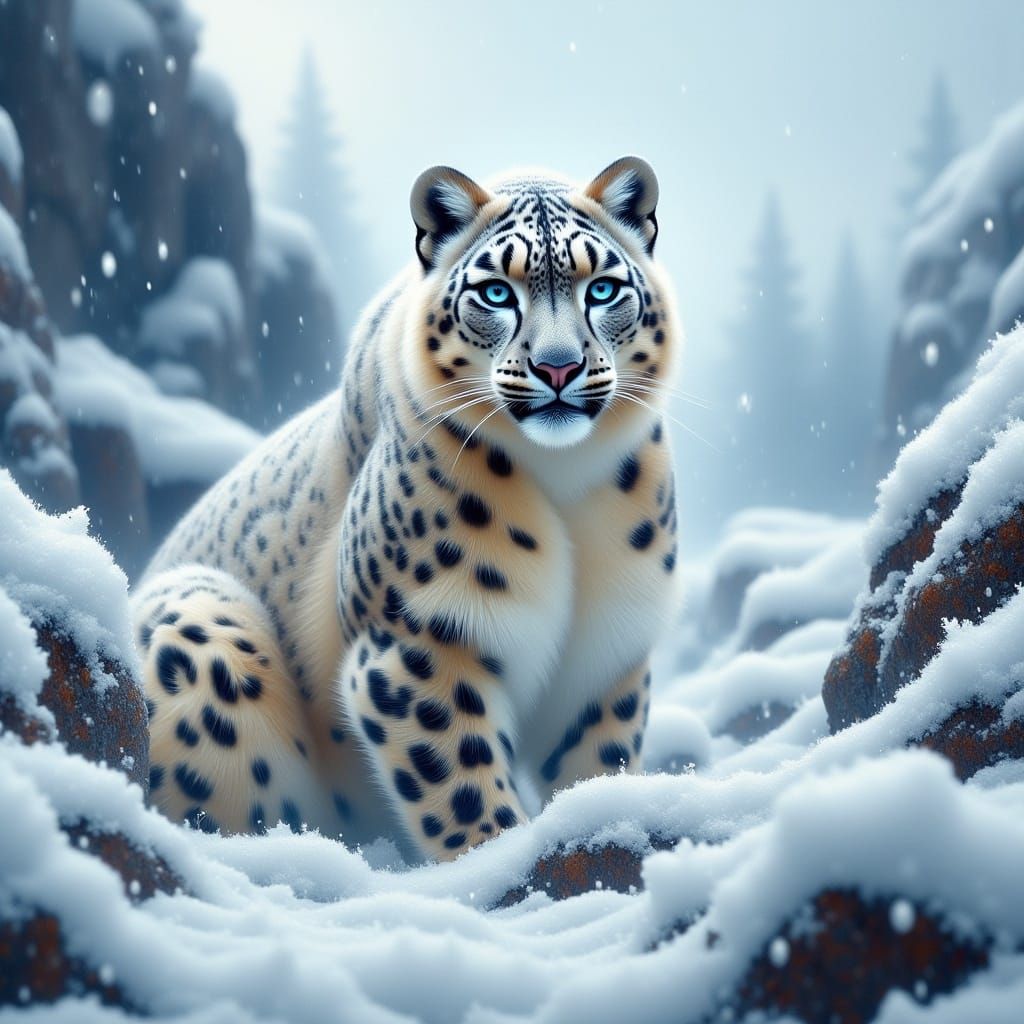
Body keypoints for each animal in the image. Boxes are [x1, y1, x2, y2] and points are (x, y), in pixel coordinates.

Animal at [132, 156, 681, 861]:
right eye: (496, 293)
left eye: (604, 289)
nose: (558, 367)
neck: (566, 488)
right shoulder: (416, 640)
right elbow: (459, 780)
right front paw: (497, 856)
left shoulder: (606, 654)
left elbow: (596, 759)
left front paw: (600, 820)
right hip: (201, 624)